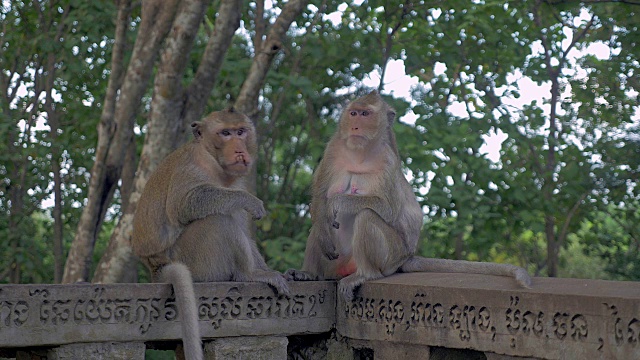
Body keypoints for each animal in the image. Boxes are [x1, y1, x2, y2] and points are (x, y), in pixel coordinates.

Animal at [131, 108, 288, 360]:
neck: (214, 161)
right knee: (218, 220)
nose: (239, 149)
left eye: (240, 132)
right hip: (195, 261)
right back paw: (249, 274)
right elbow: (185, 204)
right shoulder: (195, 164)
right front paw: (250, 202)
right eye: (225, 133)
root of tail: (157, 267)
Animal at [288, 90, 532, 300]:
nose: (355, 126)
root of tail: (406, 257)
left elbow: (387, 209)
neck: (359, 154)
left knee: (366, 216)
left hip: (390, 255)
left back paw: (365, 274)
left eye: (366, 114)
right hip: (338, 261)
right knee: (321, 223)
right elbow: (319, 197)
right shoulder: (333, 149)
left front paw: (337, 202)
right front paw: (324, 221)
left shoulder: (388, 160)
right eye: (354, 113)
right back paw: (310, 273)